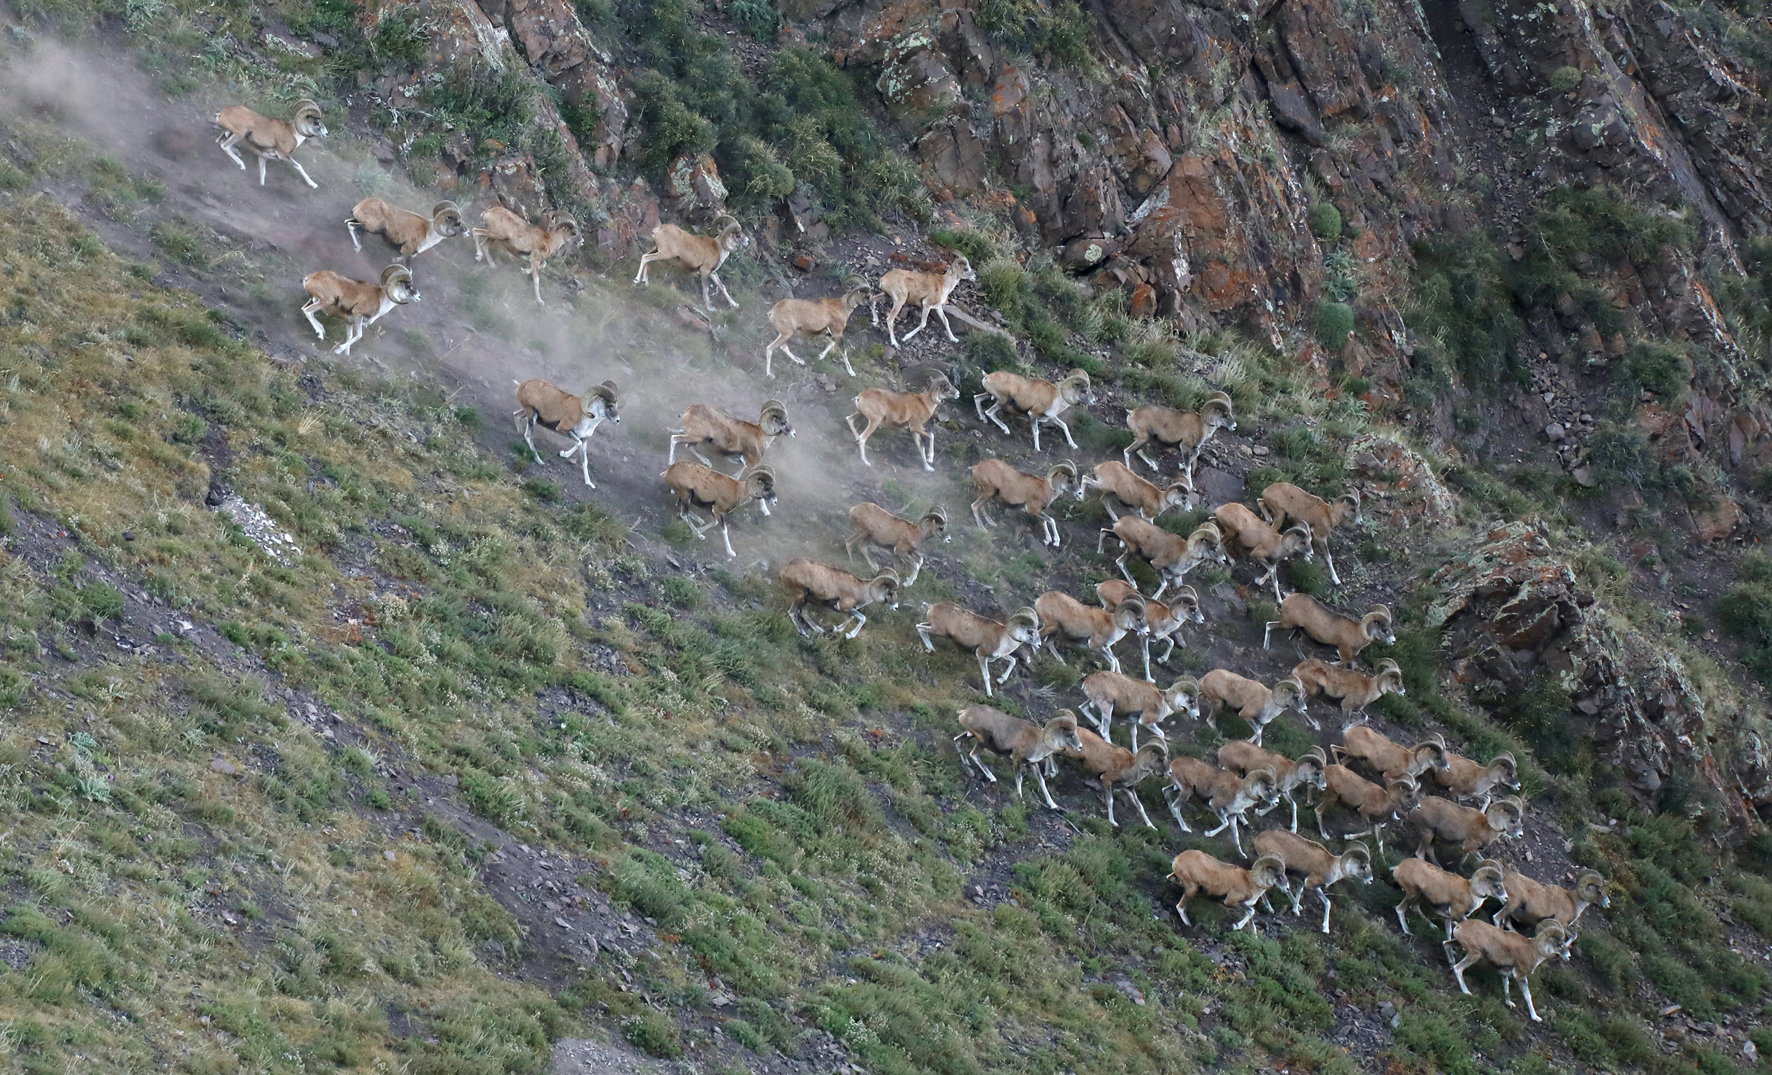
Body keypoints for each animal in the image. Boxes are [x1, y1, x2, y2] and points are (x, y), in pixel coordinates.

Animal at [949, 708, 1084, 807]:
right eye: (1070, 734)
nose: (1080, 747)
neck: (1039, 742)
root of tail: (964, 712)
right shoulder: (1017, 760)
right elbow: (1019, 779)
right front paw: (1020, 797)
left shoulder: (1032, 764)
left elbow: (1042, 781)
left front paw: (1053, 805)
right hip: (983, 741)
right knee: (974, 755)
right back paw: (992, 778)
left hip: (969, 735)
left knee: (957, 741)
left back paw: (968, 767)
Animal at [1098, 520, 1226, 602]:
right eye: (1214, 547)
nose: (1224, 560)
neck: (1184, 556)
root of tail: (1120, 522)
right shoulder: (1157, 567)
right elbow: (1164, 584)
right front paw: (1154, 599)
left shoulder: (1177, 577)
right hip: (1132, 549)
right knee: (1120, 562)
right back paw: (1133, 584)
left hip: (1118, 536)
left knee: (1104, 532)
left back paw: (1100, 552)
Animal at [1403, 800, 1531, 867]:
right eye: (1512, 820)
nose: (1520, 834)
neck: (1486, 828)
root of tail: (1415, 808)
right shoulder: (1471, 848)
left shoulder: (1469, 851)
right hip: (1428, 834)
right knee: (1420, 853)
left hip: (1433, 837)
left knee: (1429, 850)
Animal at [1445, 920, 1573, 1020]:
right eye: (1559, 944)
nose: (1568, 956)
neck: (1533, 950)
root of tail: (1460, 925)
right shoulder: (1521, 976)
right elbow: (1528, 996)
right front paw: (1535, 1017)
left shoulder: (1504, 974)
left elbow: (1506, 987)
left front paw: (1509, 1003)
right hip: (1475, 954)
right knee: (1458, 969)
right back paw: (1466, 991)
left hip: (1457, 943)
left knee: (1446, 944)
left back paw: (1450, 963)